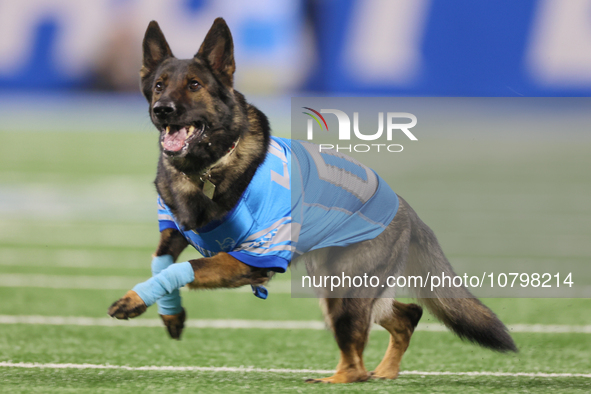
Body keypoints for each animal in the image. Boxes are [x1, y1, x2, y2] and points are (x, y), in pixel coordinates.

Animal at [107, 17, 520, 382]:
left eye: (194, 85)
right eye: (159, 86)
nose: (162, 110)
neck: (207, 169)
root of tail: (406, 208)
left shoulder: (253, 259)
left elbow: (183, 268)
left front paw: (138, 299)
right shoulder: (176, 231)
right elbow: (161, 263)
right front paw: (168, 312)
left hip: (343, 290)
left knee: (356, 364)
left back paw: (335, 380)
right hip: (338, 283)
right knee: (406, 316)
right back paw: (384, 371)